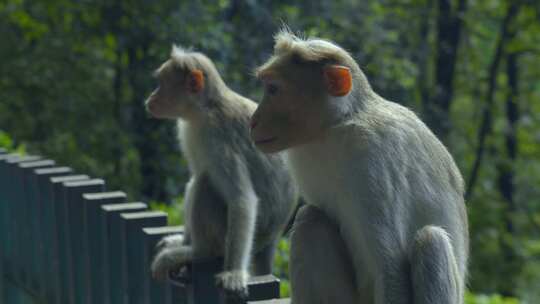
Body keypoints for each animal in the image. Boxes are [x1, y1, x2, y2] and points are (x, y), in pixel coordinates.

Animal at [146, 46, 298, 298]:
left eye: (160, 84)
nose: (150, 99)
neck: (203, 109)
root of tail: (271, 241)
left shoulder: (217, 135)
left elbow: (241, 199)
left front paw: (234, 273)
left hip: (231, 236)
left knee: (205, 183)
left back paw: (199, 252)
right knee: (199, 180)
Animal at [252, 31, 468, 304]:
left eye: (273, 89)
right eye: (266, 87)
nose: (253, 120)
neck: (334, 128)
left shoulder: (372, 156)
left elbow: (390, 267)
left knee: (431, 241)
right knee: (310, 219)